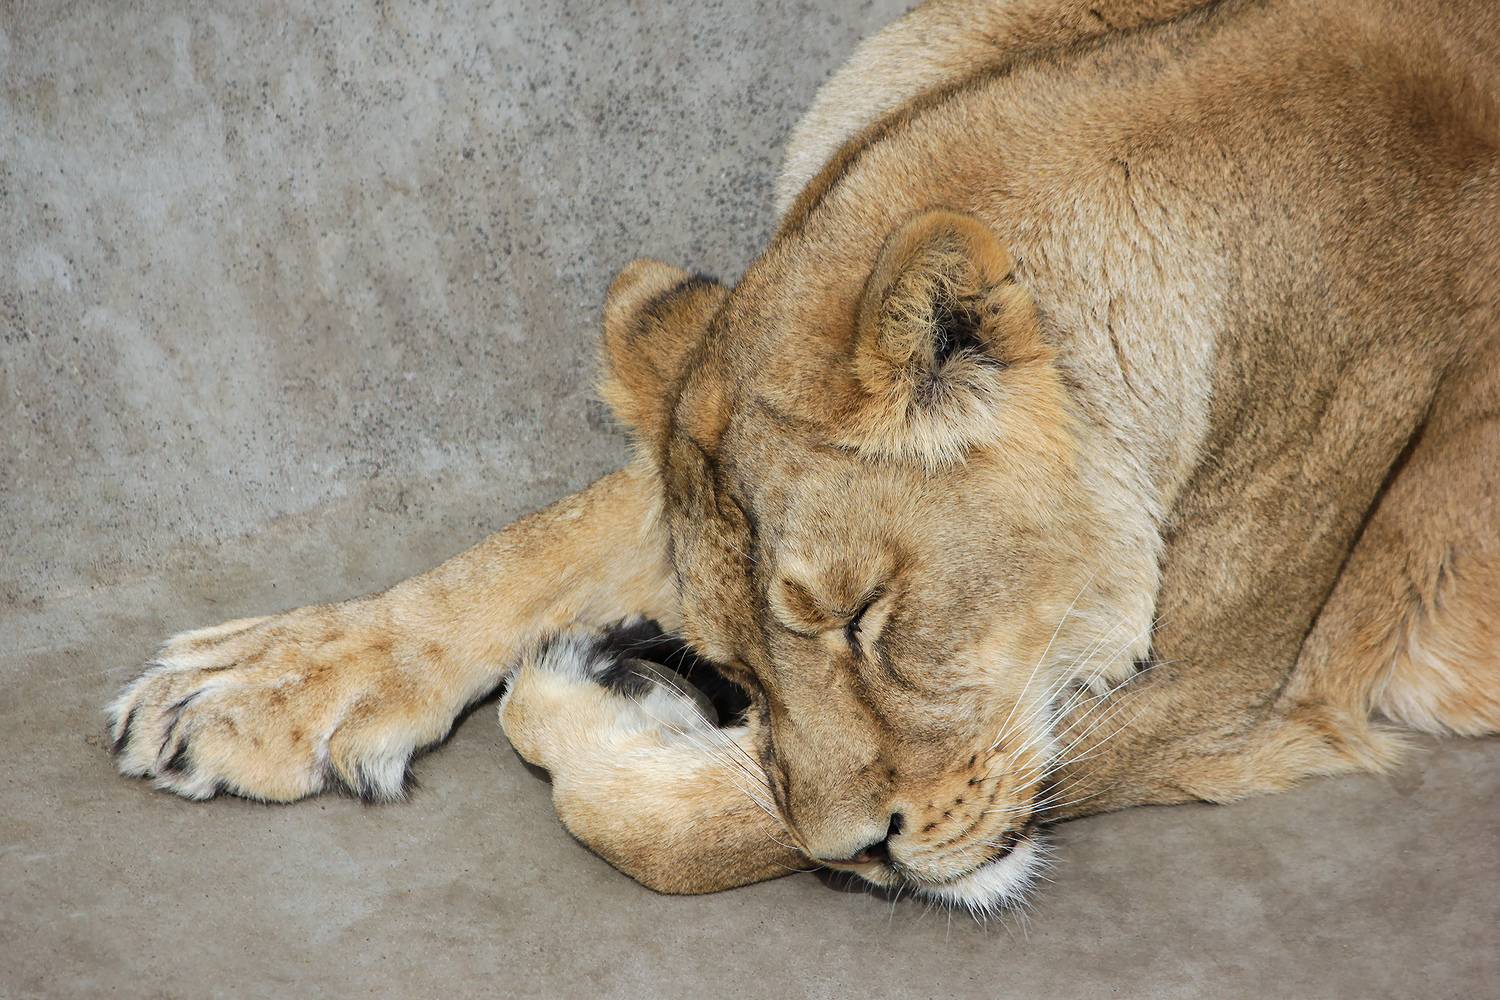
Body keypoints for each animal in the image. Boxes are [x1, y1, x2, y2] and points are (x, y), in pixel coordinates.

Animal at [107, 0, 1499, 915]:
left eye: (865, 622)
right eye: (745, 658)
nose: (864, 857)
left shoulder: (1227, 692)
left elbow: (691, 833)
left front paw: (591, 690)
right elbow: (546, 541)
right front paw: (259, 684)